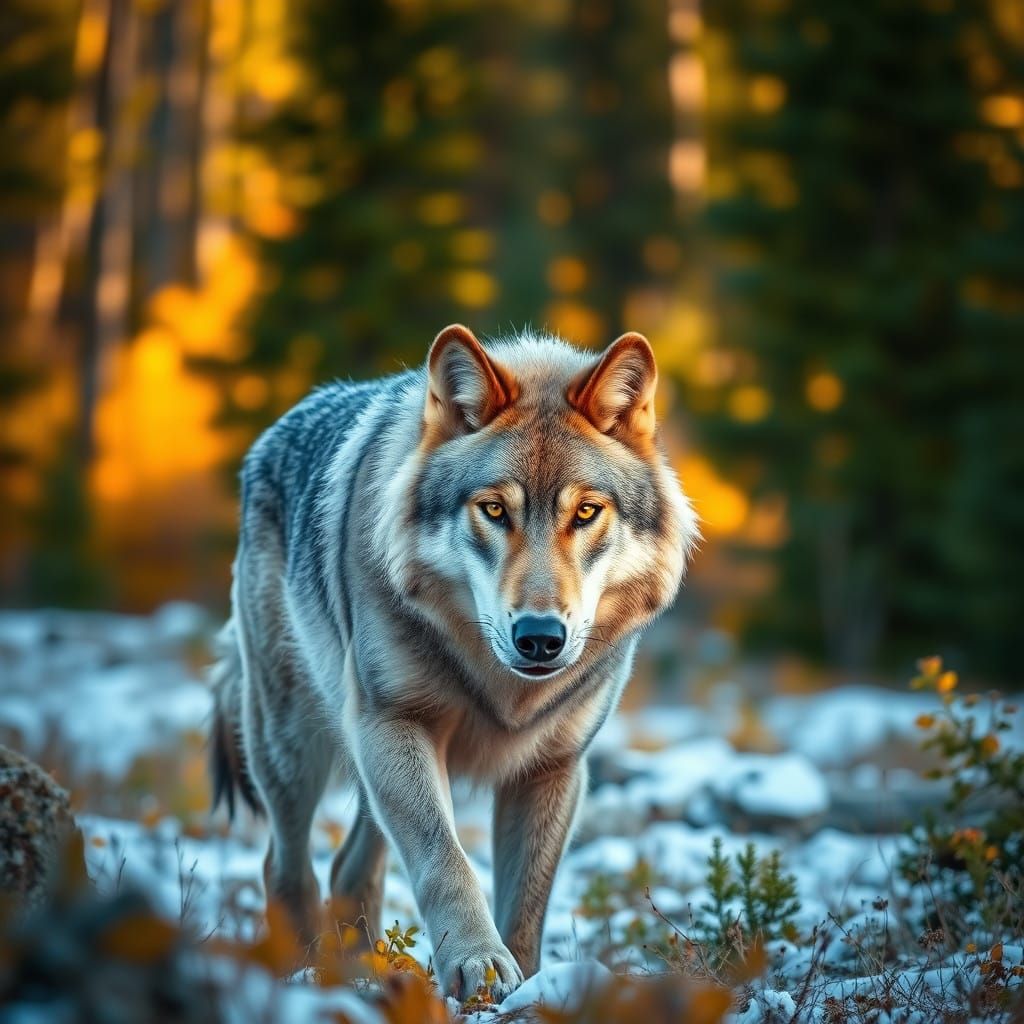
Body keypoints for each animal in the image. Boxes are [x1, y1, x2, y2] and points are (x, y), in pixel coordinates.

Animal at [209, 325, 698, 998]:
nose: (540, 637)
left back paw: (363, 971)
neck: (504, 690)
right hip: (292, 748)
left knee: (349, 869)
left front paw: (530, 986)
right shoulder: (397, 724)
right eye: (494, 510)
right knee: (285, 868)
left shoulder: (553, 768)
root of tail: (273, 431)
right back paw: (302, 975)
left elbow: (528, 902)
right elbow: (446, 859)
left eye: (586, 512)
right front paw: (478, 962)